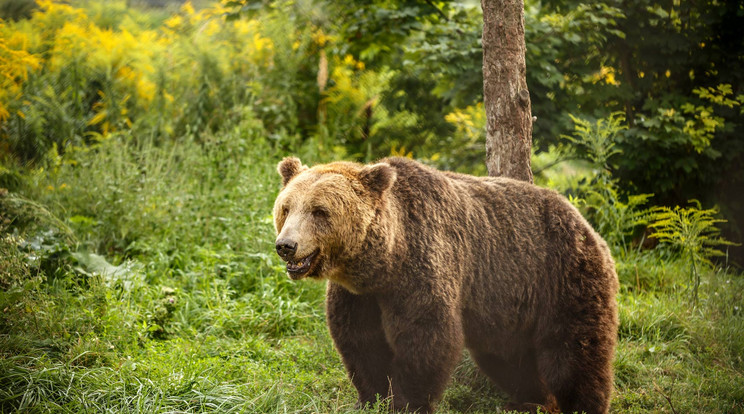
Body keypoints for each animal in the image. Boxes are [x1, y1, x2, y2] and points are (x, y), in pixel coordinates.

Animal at [272, 157, 616, 414]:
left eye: (319, 211)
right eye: (286, 208)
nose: (286, 246)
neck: (384, 261)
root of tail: (584, 222)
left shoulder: (420, 268)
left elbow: (426, 338)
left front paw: (406, 402)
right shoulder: (359, 295)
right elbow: (361, 342)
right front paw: (372, 398)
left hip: (561, 277)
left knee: (573, 352)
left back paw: (581, 404)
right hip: (509, 306)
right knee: (509, 359)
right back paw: (530, 400)